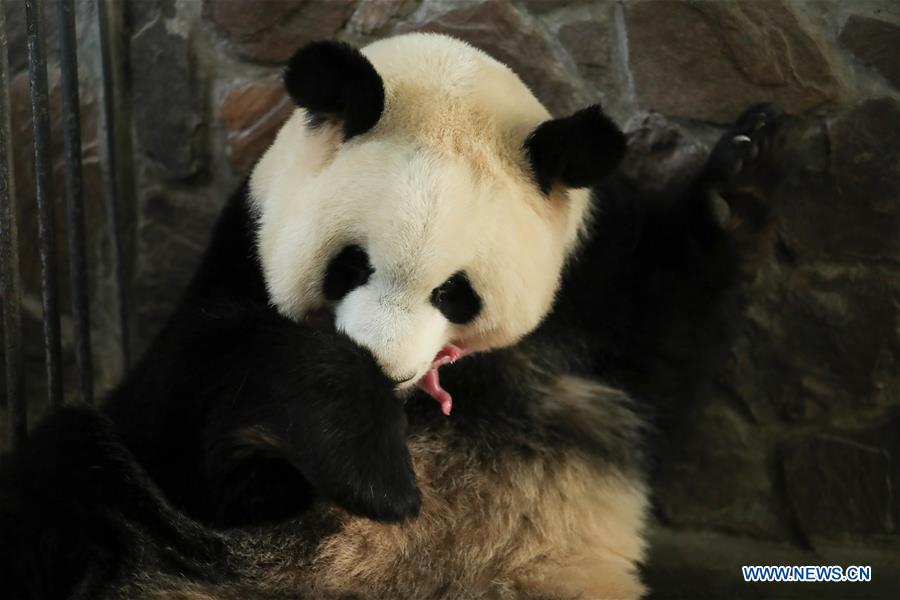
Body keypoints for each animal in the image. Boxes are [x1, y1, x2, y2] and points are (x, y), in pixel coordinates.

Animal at [0, 34, 780, 600]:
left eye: (456, 293)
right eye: (352, 264)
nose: (386, 367)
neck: (421, 406)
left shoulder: (590, 296)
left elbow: (669, 345)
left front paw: (741, 167)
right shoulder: (236, 262)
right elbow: (185, 416)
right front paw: (373, 467)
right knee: (66, 479)